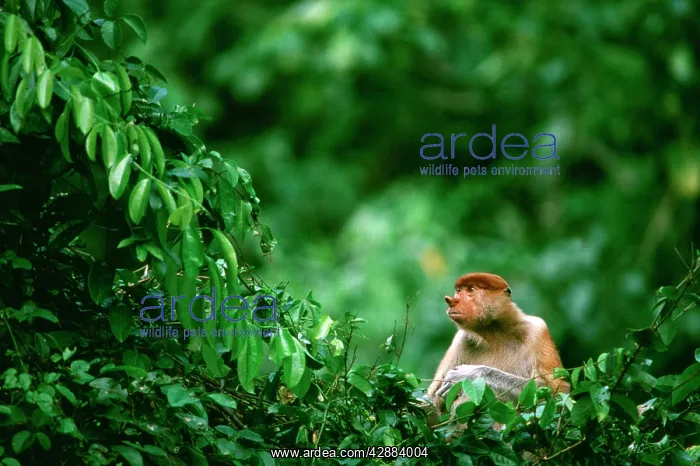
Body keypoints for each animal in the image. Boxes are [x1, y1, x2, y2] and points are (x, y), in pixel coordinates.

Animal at [426, 272, 569, 426]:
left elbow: (557, 391)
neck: (493, 331)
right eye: (458, 290)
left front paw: (468, 374)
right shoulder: (460, 339)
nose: (451, 301)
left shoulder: (538, 330)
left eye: (471, 289)